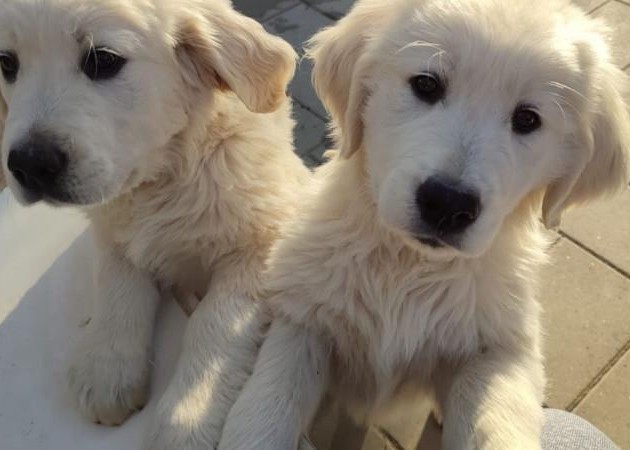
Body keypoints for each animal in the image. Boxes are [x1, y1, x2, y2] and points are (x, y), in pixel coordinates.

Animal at [0, 0, 309, 448]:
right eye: (7, 63)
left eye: (103, 60)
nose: (28, 165)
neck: (166, 176)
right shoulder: (112, 232)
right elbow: (118, 287)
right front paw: (108, 369)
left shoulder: (262, 246)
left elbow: (213, 324)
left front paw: (186, 421)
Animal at [218, 0, 630, 449]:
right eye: (427, 85)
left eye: (527, 119)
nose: (448, 204)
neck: (408, 266)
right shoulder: (304, 316)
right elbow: (267, 408)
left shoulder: (498, 347)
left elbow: (496, 422)